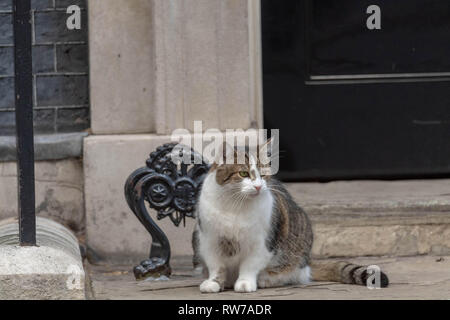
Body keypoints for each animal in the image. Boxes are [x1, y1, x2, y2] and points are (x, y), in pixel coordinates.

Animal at [190, 141, 386, 294]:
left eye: (263, 175)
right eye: (244, 174)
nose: (259, 186)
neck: (235, 205)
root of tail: (308, 261)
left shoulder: (262, 242)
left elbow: (249, 265)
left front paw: (245, 282)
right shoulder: (209, 240)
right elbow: (216, 266)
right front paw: (214, 282)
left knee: (294, 274)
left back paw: (265, 278)